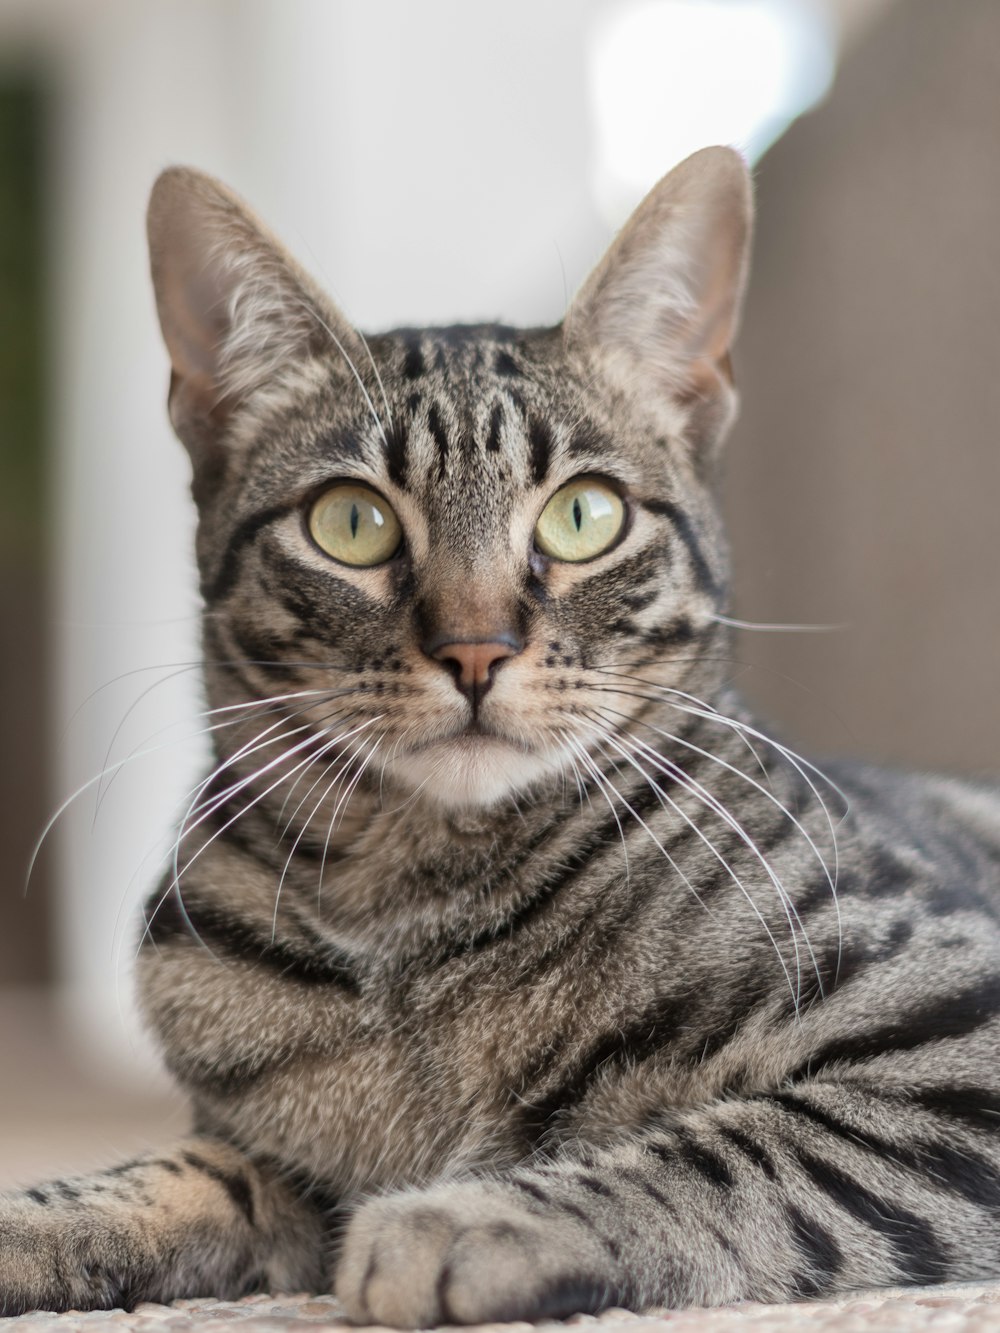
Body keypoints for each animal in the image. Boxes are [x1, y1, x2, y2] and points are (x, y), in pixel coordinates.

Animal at [1, 148, 1000, 1322]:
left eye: (584, 514)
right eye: (351, 522)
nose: (476, 650)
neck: (418, 909)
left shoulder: (955, 1038)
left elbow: (732, 1147)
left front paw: (470, 1215)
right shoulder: (268, 1162)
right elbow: (161, 1174)